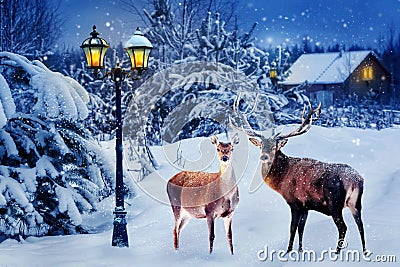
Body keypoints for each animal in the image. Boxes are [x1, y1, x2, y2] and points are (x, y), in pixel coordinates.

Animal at [233, 99, 368, 255]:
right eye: (261, 146)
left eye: (275, 147)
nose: (264, 157)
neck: (281, 180)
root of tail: (355, 180)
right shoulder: (306, 206)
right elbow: (301, 229)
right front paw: (300, 250)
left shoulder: (295, 202)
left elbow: (292, 229)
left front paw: (288, 251)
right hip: (356, 203)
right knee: (360, 224)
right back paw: (364, 251)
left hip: (334, 202)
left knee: (343, 227)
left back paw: (337, 252)